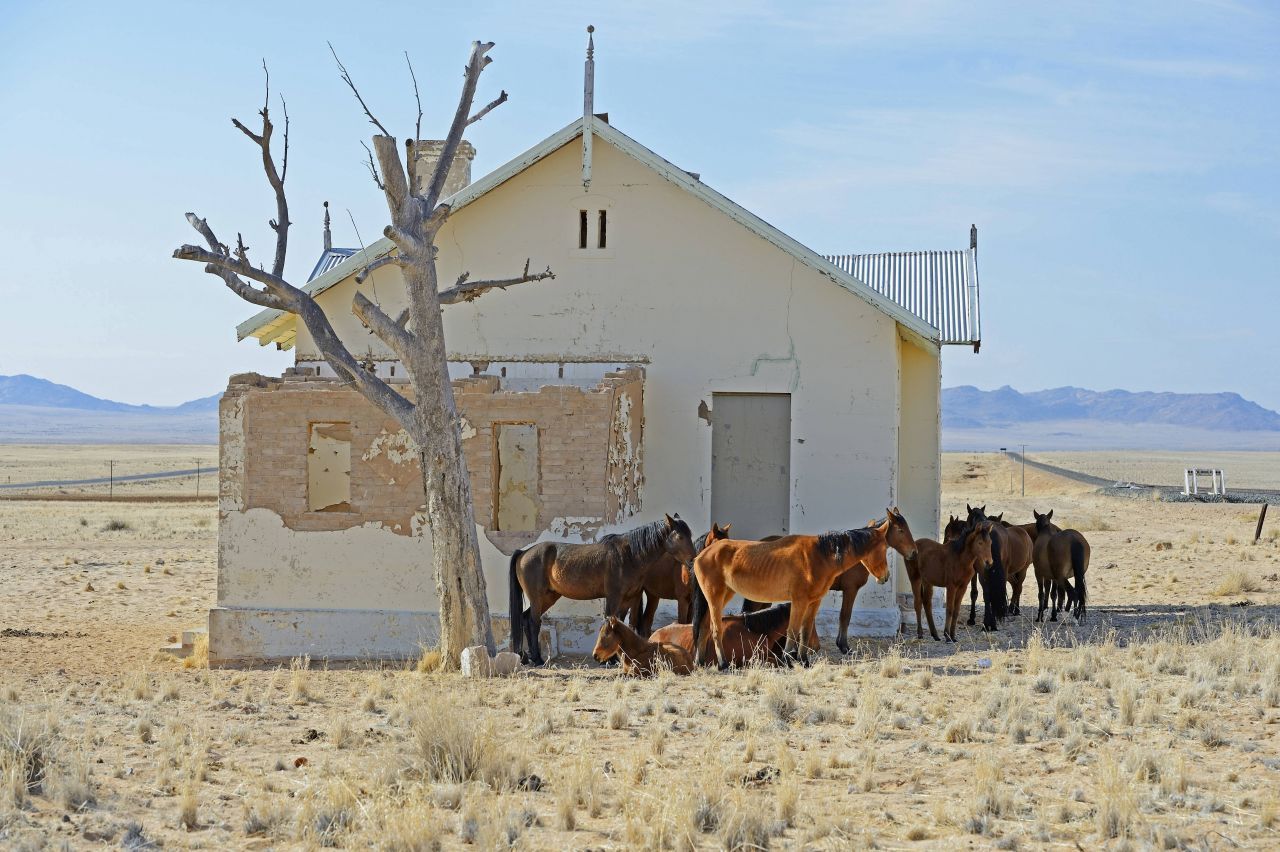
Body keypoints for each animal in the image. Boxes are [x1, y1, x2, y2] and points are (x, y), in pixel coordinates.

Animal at [506, 511, 701, 665]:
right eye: (680, 537)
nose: (693, 561)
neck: (629, 556)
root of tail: (524, 553)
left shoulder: (629, 598)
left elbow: (620, 622)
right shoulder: (614, 597)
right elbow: (610, 620)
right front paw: (610, 660)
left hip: (548, 597)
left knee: (525, 619)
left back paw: (527, 657)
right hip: (537, 597)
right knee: (533, 622)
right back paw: (538, 659)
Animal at [696, 514, 896, 665]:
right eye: (884, 547)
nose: (886, 576)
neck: (819, 557)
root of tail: (703, 554)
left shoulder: (814, 602)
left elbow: (804, 631)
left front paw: (804, 660)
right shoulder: (799, 601)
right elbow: (792, 631)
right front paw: (788, 659)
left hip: (722, 595)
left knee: (704, 627)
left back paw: (700, 662)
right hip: (715, 596)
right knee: (715, 628)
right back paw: (722, 663)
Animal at [906, 516, 993, 644]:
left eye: (990, 543)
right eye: (980, 543)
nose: (989, 562)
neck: (961, 560)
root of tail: (914, 545)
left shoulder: (963, 587)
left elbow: (956, 611)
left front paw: (953, 635)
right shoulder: (951, 586)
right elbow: (950, 609)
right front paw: (947, 635)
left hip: (927, 582)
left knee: (927, 603)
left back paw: (935, 635)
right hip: (915, 578)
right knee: (917, 602)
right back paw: (920, 633)